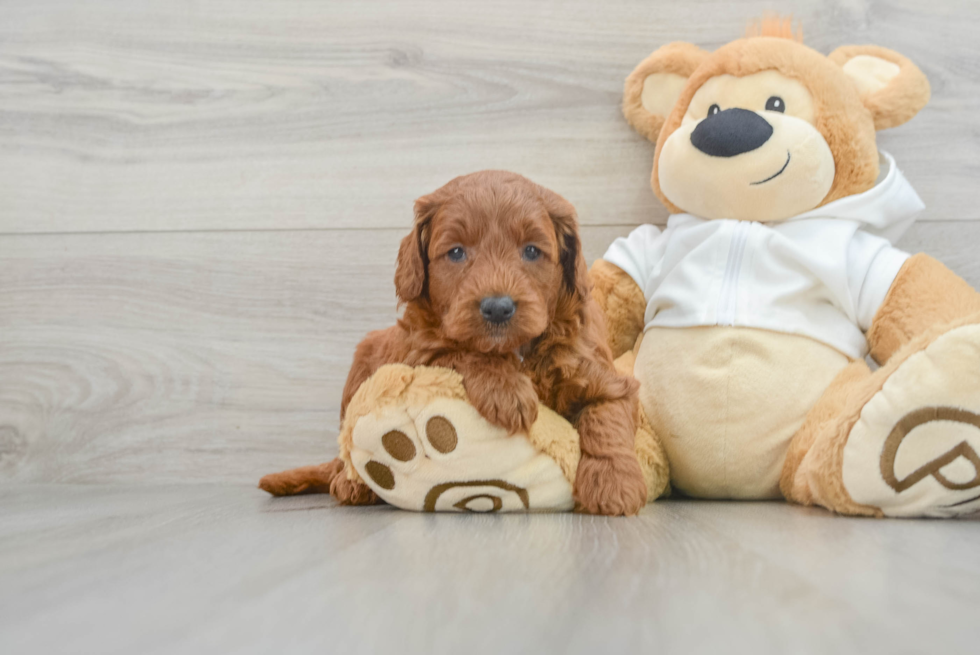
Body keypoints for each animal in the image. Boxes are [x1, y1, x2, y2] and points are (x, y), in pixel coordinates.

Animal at [260, 170, 652, 516]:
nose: (498, 307)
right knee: (345, 448)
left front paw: (614, 484)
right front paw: (506, 390)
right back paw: (352, 484)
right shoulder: (418, 350)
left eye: (531, 251)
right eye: (456, 252)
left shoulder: (599, 372)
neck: (516, 350)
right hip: (361, 364)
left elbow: (607, 418)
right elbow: (459, 349)